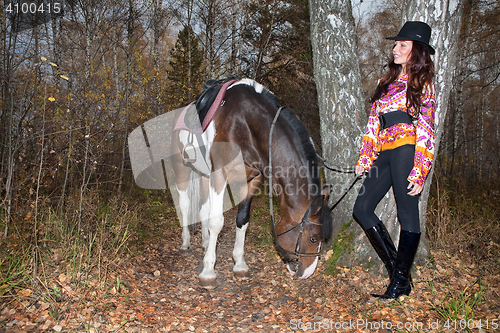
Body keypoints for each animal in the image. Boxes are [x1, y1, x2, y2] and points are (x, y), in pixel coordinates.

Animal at [171, 78, 332, 286]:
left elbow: (242, 220)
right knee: (185, 204)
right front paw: (208, 271)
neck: (246, 124)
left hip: (205, 175)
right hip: (182, 169)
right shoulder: (219, 174)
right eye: (313, 239)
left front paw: (239, 263)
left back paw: (206, 241)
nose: (307, 273)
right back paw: (186, 242)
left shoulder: (253, 179)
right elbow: (217, 221)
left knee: (203, 207)